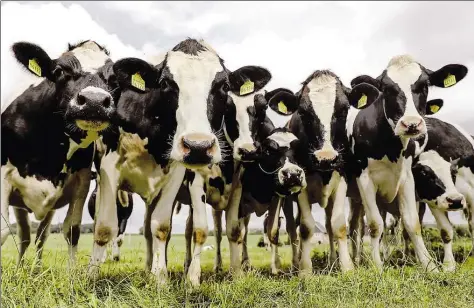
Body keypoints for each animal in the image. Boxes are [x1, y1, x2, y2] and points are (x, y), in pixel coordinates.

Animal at [1, 39, 118, 266]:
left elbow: (72, 231)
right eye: (59, 71)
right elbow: (3, 230)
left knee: (39, 236)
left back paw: (35, 269)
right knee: (25, 235)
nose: (94, 101)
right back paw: (20, 267)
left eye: (114, 78)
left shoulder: (82, 179)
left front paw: (72, 275)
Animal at [266, 71, 382, 276]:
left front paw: (346, 266)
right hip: (285, 197)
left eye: (344, 110)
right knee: (290, 228)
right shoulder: (300, 184)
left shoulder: (341, 178)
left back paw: (332, 261)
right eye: (303, 112)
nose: (325, 158)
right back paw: (295, 263)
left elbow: (338, 225)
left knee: (327, 224)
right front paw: (305, 270)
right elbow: (306, 227)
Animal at [346, 54, 468, 270]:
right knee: (354, 227)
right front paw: (377, 266)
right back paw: (356, 259)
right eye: (386, 88)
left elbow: (412, 223)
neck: (390, 149)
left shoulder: (408, 178)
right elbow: (375, 225)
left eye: (425, 85)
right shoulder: (365, 179)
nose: (411, 124)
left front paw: (429, 265)